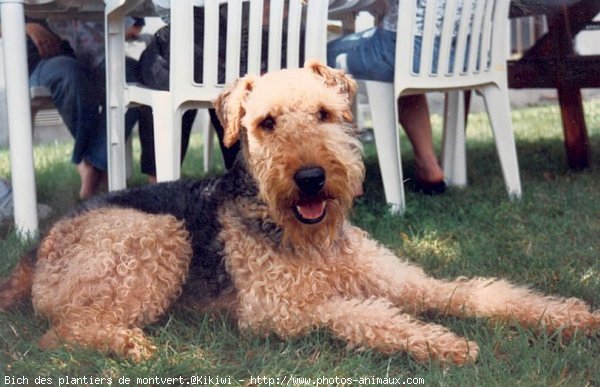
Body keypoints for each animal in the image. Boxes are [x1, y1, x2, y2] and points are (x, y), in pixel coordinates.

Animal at [0, 62, 596, 366]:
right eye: (266, 122)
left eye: (326, 113)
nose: (310, 178)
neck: (314, 242)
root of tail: (35, 250)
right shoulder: (279, 310)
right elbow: (360, 313)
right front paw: (443, 343)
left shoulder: (405, 280)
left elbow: (477, 293)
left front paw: (571, 317)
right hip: (158, 234)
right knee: (63, 332)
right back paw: (132, 344)